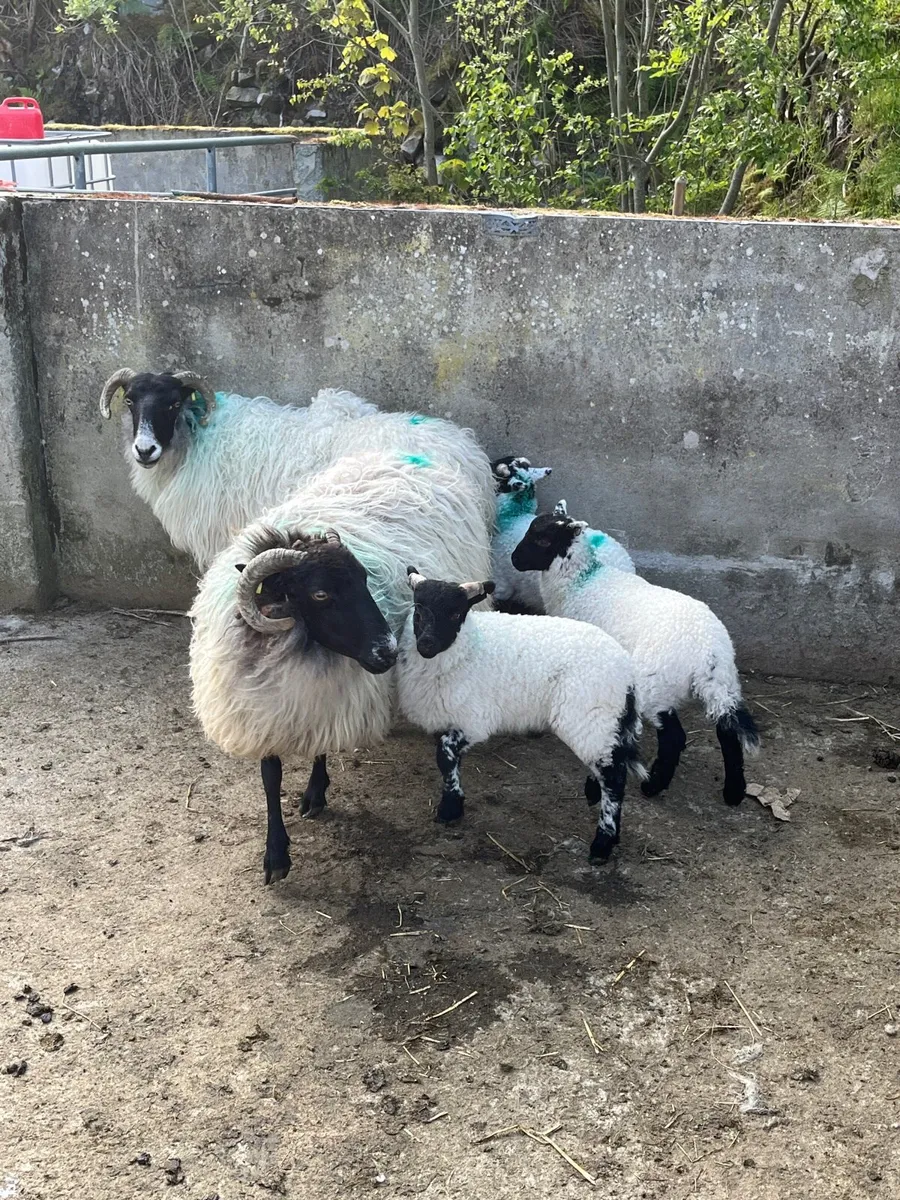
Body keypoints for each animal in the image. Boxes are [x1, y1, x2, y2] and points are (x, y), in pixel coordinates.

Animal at [189, 449, 493, 883]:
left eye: (365, 579)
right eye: (320, 594)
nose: (388, 651)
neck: (302, 650)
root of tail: (407, 454)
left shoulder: (329, 700)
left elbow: (319, 749)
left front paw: (315, 794)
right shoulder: (262, 710)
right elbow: (270, 778)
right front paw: (276, 855)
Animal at [396, 569, 644, 863]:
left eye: (456, 614)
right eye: (418, 610)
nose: (426, 644)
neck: (469, 648)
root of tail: (627, 672)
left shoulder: (475, 719)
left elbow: (445, 756)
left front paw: (449, 808)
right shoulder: (449, 716)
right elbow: (449, 762)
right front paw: (453, 803)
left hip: (588, 714)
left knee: (614, 776)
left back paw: (602, 844)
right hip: (602, 723)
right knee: (610, 761)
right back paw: (596, 798)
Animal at [511, 505, 759, 806]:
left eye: (544, 540)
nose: (514, 559)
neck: (581, 582)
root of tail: (707, 651)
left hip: (657, 684)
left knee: (674, 737)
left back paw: (649, 785)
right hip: (723, 684)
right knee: (727, 732)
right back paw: (733, 792)